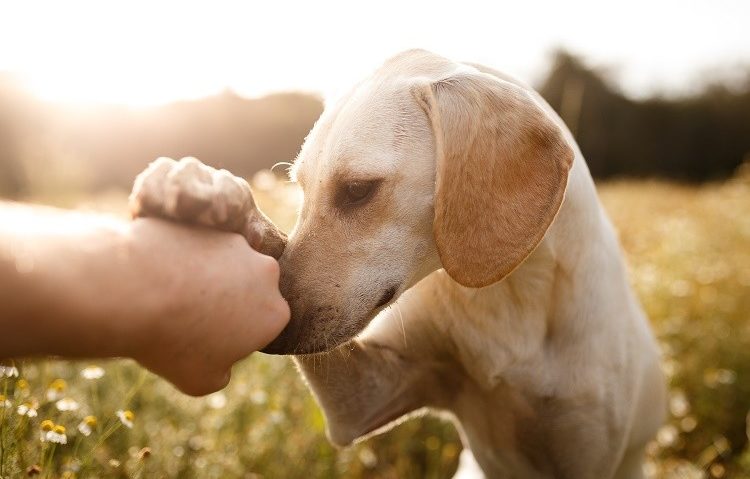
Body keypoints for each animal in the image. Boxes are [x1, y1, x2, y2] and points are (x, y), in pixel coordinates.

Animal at [132, 49, 668, 479]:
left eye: (357, 190)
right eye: (300, 190)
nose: (275, 335)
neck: (506, 299)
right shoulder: (364, 400)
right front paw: (205, 189)